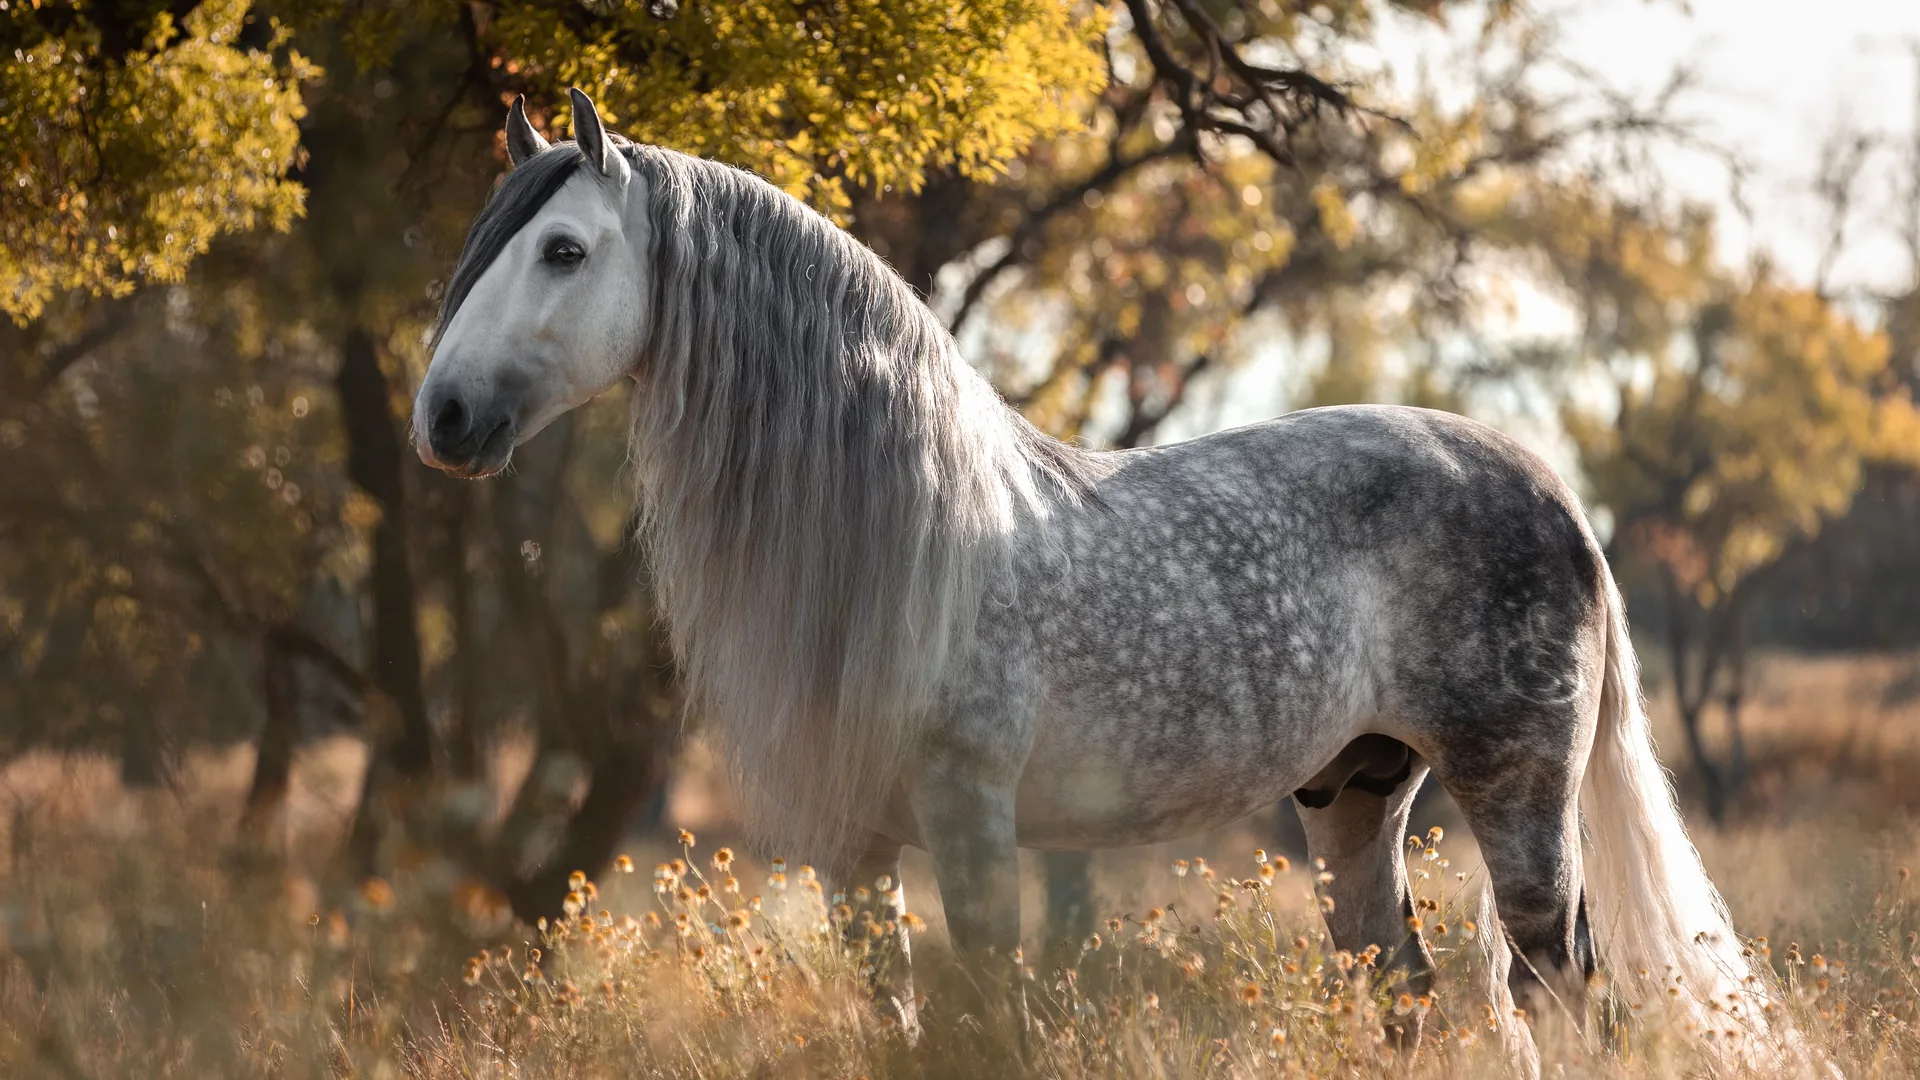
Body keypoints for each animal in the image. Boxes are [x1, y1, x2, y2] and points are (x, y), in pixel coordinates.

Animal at [413, 89, 1777, 1069]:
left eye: (564, 250)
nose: (443, 418)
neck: (911, 540)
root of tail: (1553, 491)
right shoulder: (854, 848)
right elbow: (900, 1028)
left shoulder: (971, 822)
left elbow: (987, 1026)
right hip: (1356, 793)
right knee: (1402, 989)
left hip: (1519, 796)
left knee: (1562, 995)